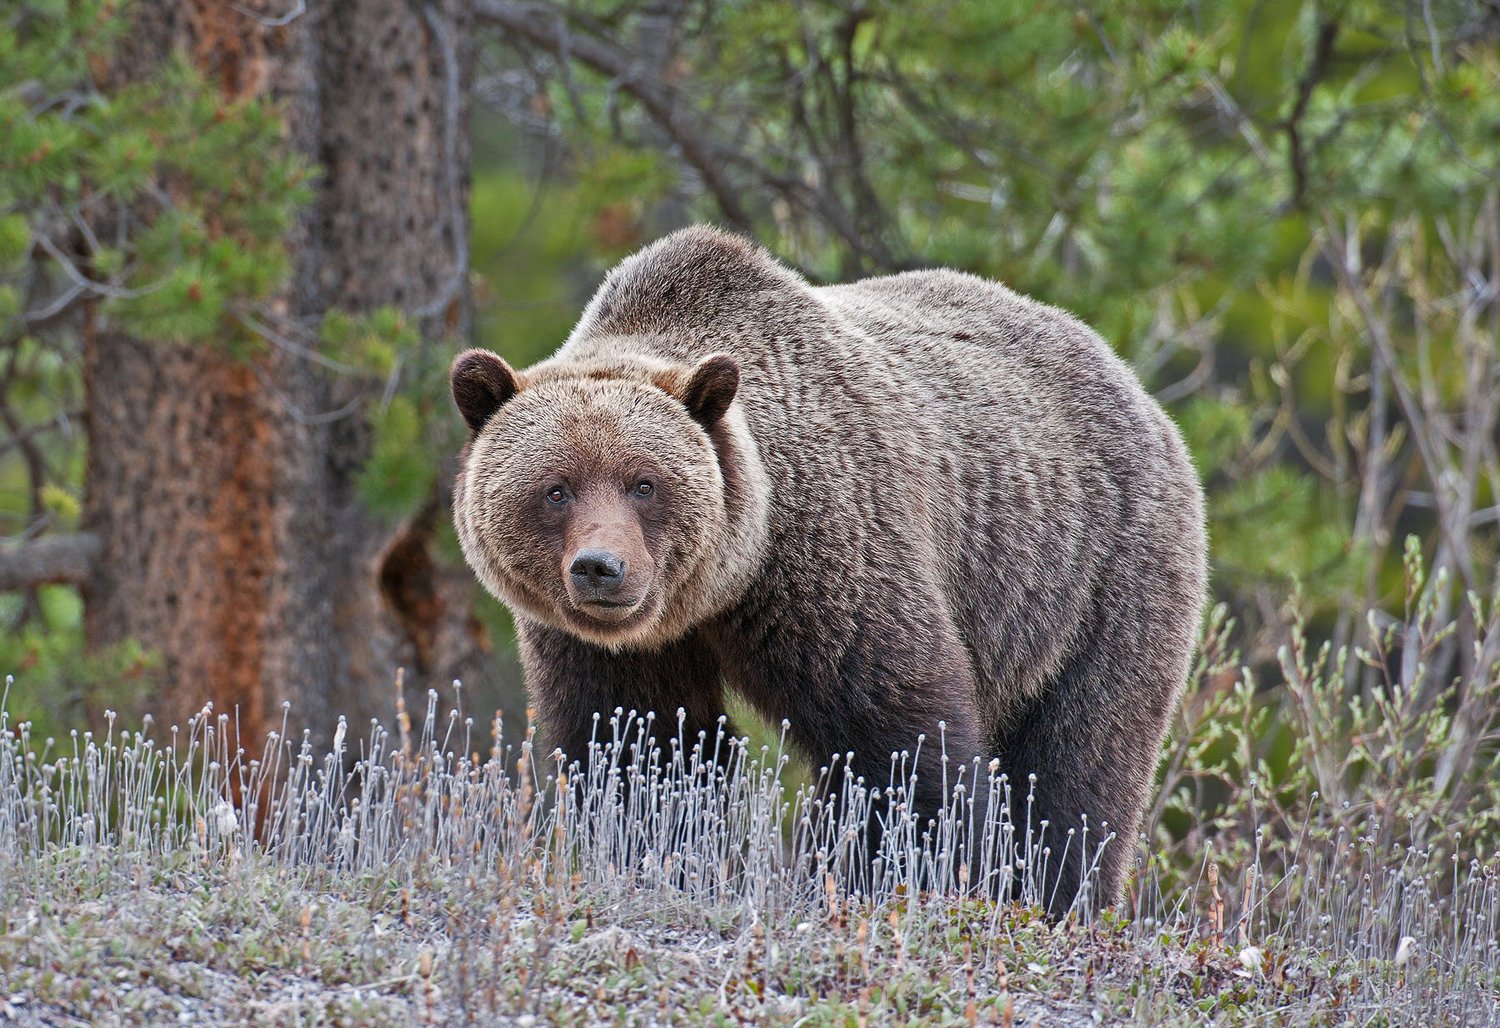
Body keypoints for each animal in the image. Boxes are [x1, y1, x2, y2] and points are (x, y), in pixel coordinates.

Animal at [449, 225, 1208, 915]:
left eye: (644, 484)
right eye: (557, 488)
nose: (601, 569)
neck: (723, 585)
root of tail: (1134, 383)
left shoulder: (829, 562)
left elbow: (893, 742)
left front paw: (882, 878)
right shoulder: (608, 648)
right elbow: (638, 748)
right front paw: (655, 858)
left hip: (1097, 577)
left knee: (1078, 764)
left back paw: (1055, 899)